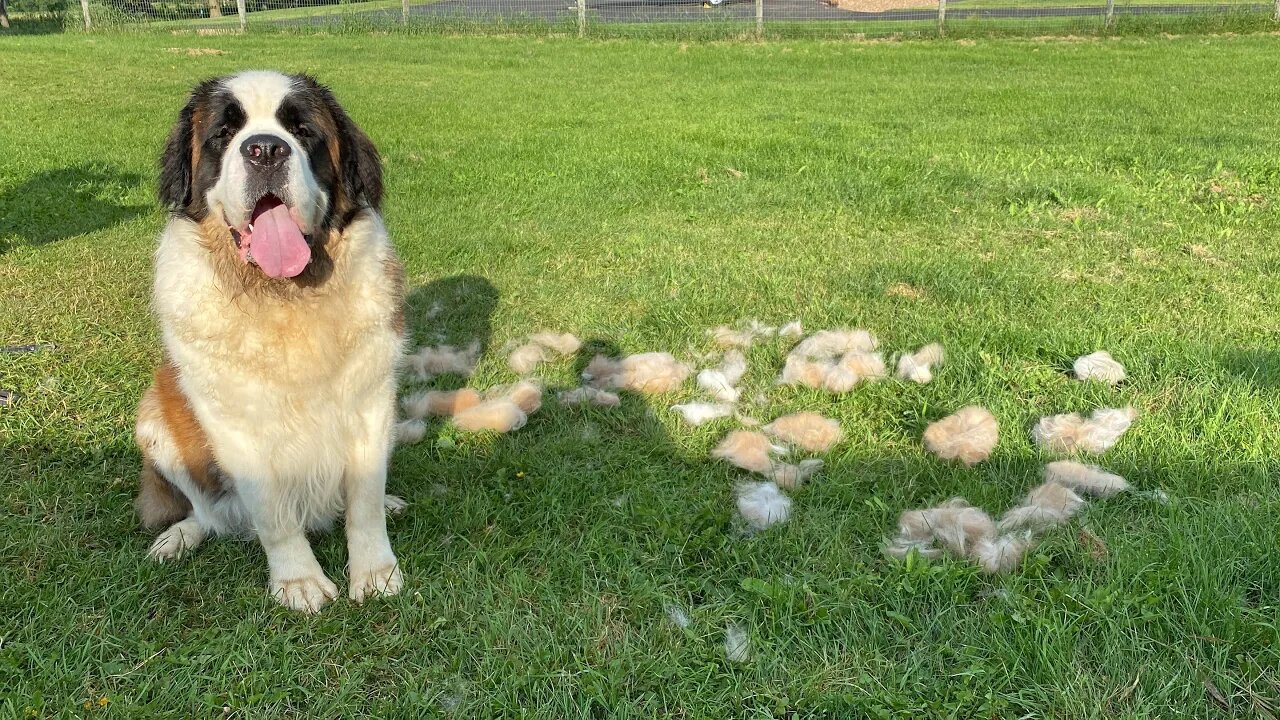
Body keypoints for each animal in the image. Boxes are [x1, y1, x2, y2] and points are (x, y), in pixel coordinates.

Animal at [134, 71, 404, 609]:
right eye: (223, 133)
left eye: (302, 131)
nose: (264, 150)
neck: (283, 299)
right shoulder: (236, 426)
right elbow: (273, 515)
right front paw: (298, 581)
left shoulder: (372, 403)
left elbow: (363, 500)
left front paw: (376, 572)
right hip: (155, 418)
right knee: (211, 514)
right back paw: (179, 537)